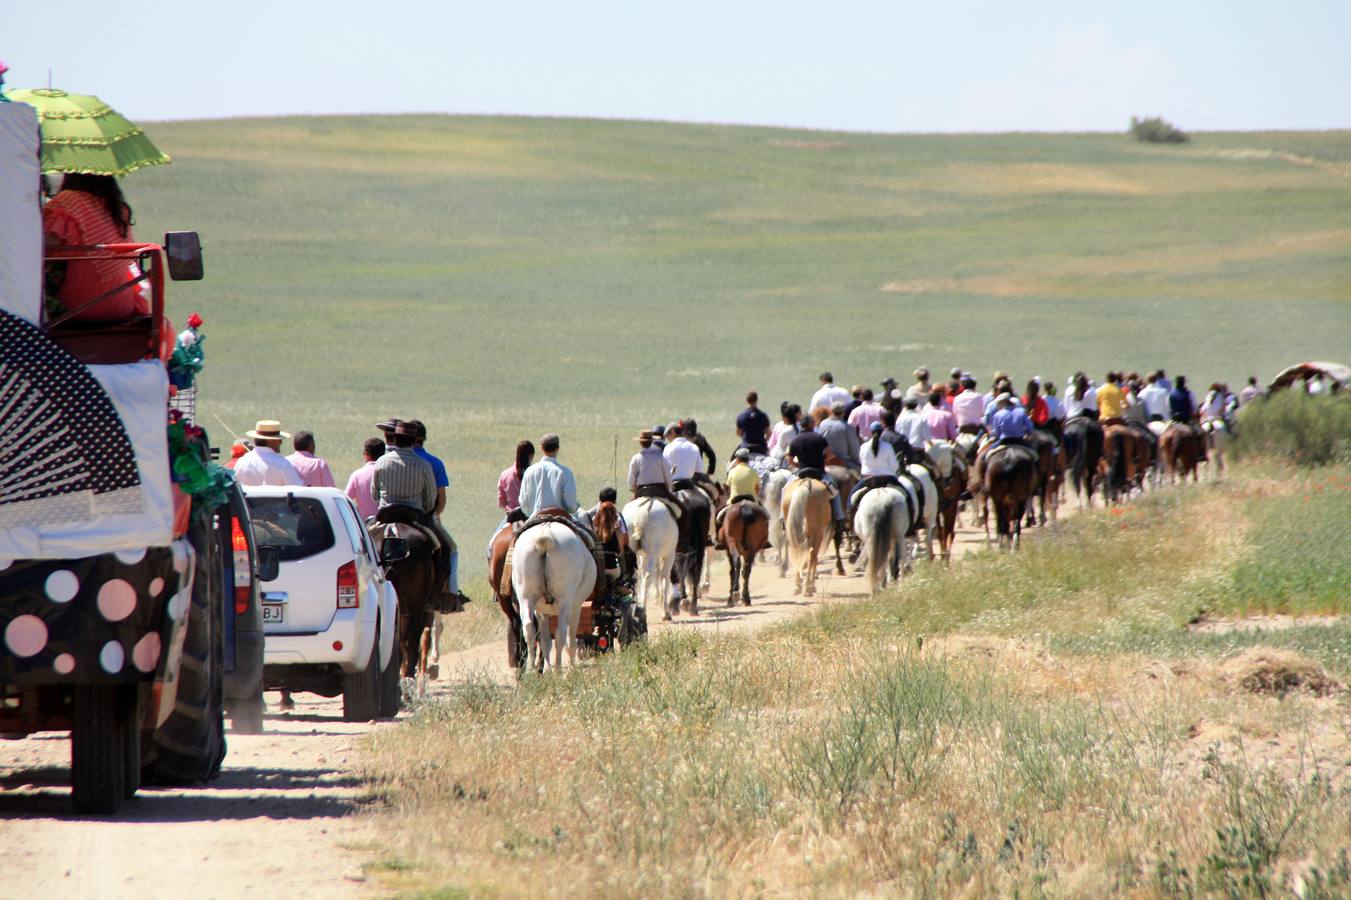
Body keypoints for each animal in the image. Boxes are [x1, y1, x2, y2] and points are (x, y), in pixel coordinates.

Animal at [507, 518, 594, 672]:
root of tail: (545, 536)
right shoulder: (576, 608)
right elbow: (571, 639)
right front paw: (571, 668)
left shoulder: (541, 613)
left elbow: (545, 641)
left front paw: (547, 669)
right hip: (565, 601)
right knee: (561, 635)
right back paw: (558, 669)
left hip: (526, 598)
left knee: (529, 630)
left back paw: (531, 670)